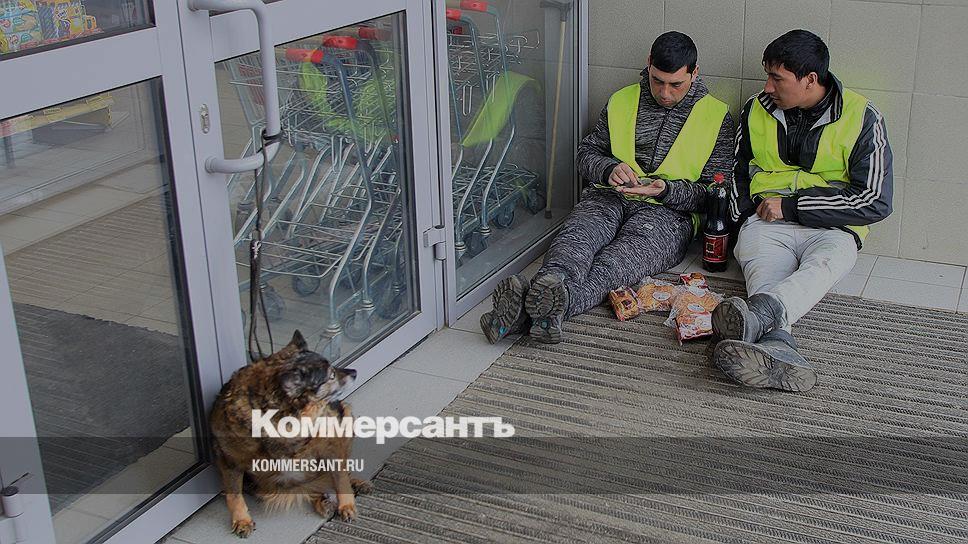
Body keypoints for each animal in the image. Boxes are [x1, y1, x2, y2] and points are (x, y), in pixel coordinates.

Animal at [209, 330, 371, 537]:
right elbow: (234, 496)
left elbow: (340, 476)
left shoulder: (332, 438)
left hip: (345, 414)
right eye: (331, 375)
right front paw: (242, 520)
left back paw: (355, 484)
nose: (355, 372)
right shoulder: (229, 460)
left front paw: (347, 506)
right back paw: (323, 500)